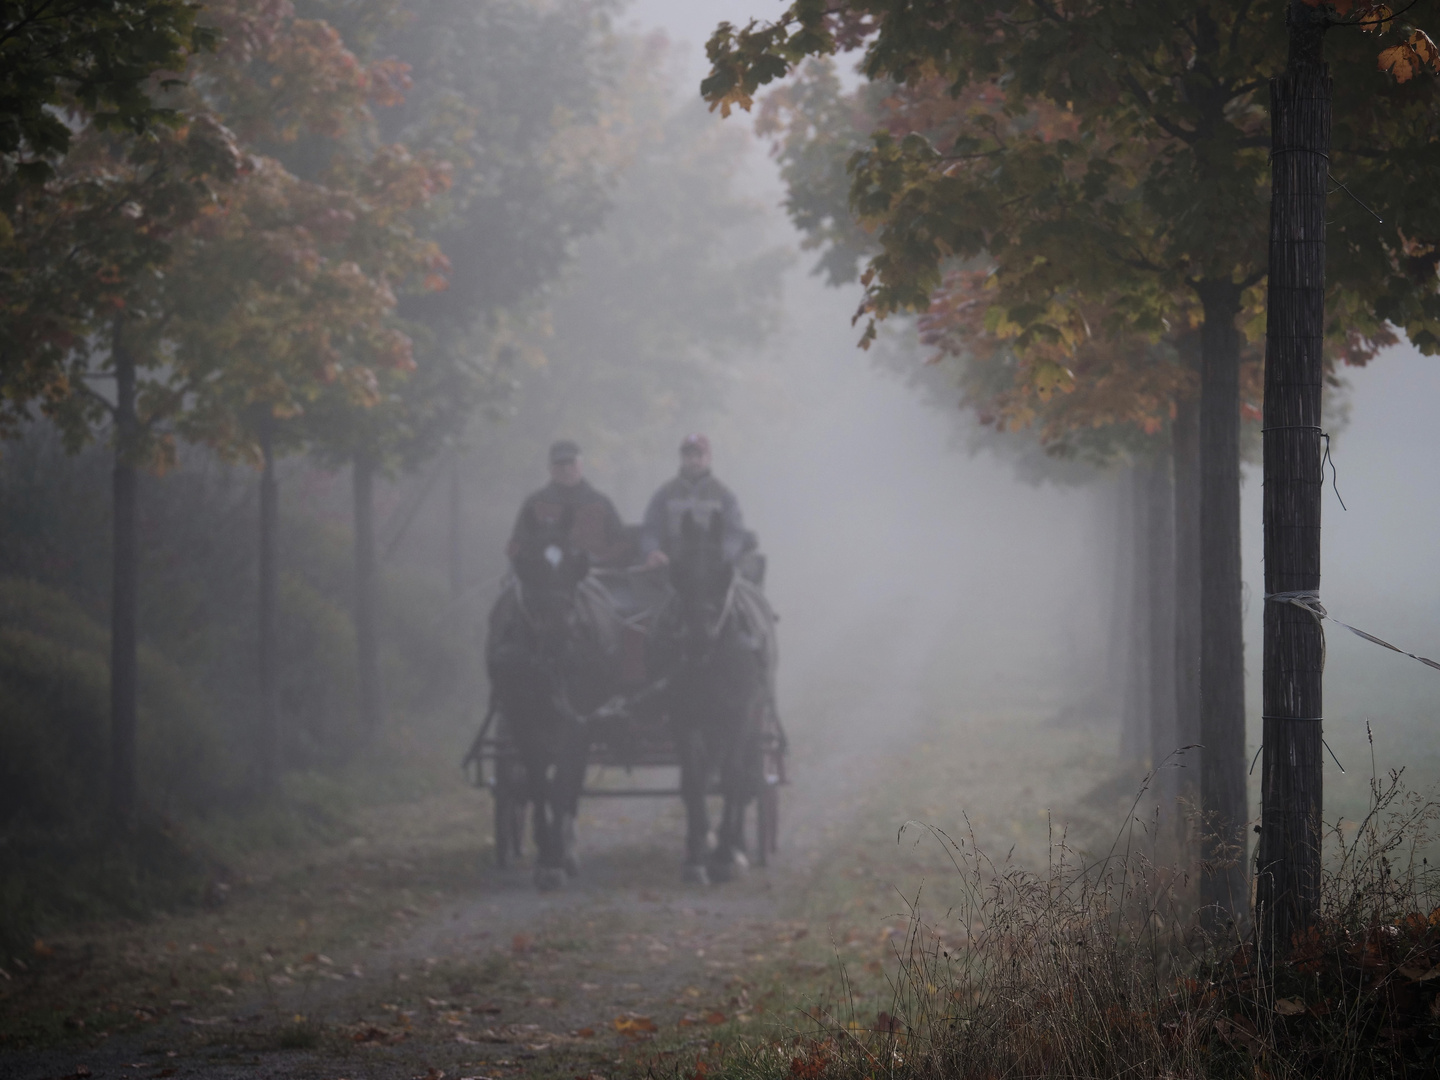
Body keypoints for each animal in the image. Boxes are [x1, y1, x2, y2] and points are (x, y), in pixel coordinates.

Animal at [483, 512, 607, 892]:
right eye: (528, 563)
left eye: (576, 562)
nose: (557, 632)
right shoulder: (522, 719)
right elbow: (538, 782)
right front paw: (544, 855)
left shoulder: (576, 720)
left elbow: (563, 781)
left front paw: (556, 859)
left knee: (572, 780)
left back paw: (568, 848)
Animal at [659, 512, 783, 881]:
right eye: (677, 568)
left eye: (723, 569)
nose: (697, 637)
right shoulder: (682, 715)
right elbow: (694, 779)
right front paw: (697, 855)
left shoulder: (739, 713)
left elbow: (732, 776)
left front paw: (726, 854)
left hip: (755, 714)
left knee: (747, 772)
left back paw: (738, 843)